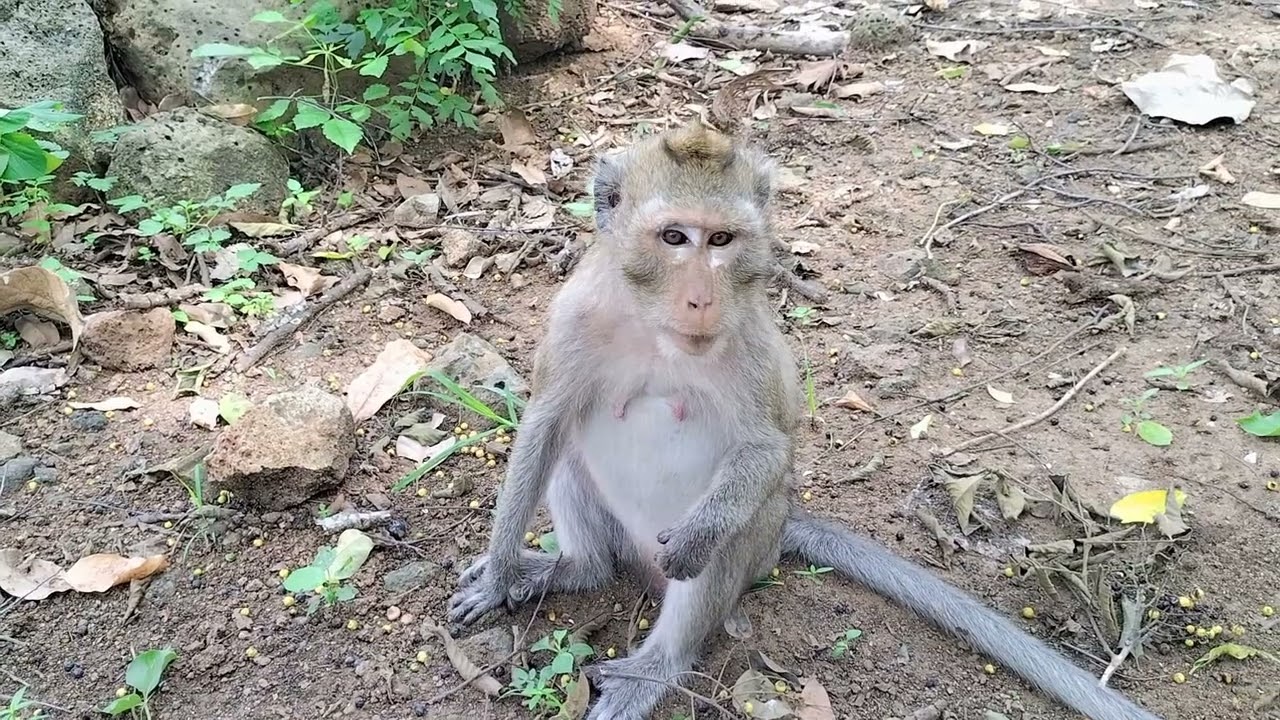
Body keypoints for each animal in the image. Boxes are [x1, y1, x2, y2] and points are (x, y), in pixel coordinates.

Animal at [447, 120, 1164, 720]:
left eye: (721, 240)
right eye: (675, 237)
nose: (701, 299)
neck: (656, 332)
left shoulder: (752, 342)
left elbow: (766, 449)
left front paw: (698, 538)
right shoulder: (574, 315)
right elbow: (545, 423)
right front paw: (501, 573)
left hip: (757, 535)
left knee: (734, 535)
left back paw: (655, 665)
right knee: (570, 457)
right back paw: (576, 569)